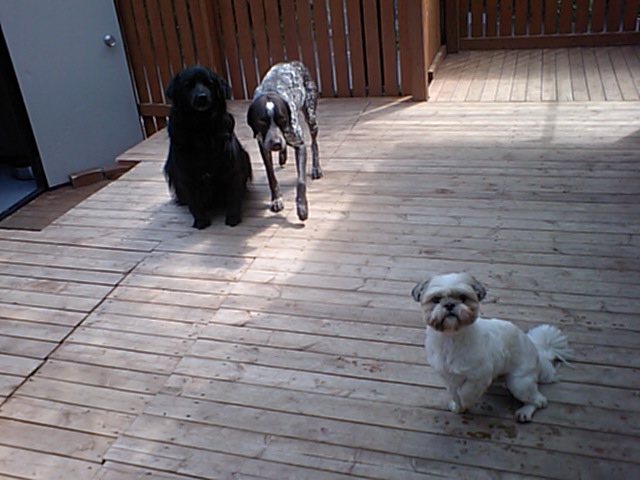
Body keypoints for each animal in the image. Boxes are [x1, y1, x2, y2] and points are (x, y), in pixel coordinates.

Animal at [164, 66, 251, 228]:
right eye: (188, 85)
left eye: (209, 83)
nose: (202, 97)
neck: (202, 126)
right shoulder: (186, 173)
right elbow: (194, 201)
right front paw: (201, 221)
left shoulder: (231, 166)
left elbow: (233, 196)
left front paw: (233, 218)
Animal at [247, 61, 321, 221]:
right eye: (262, 122)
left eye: (282, 119)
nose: (275, 143)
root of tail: (293, 62)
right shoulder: (263, 147)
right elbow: (271, 176)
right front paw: (276, 199)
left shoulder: (300, 145)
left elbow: (300, 181)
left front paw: (302, 207)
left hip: (311, 117)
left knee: (314, 144)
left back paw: (316, 168)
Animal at [412, 273, 572, 422]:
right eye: (436, 300)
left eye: (463, 298)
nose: (450, 304)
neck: (451, 338)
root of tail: (537, 351)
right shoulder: (447, 376)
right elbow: (454, 392)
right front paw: (457, 406)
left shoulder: (480, 376)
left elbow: (466, 392)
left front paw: (464, 402)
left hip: (519, 382)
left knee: (540, 400)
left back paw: (525, 411)